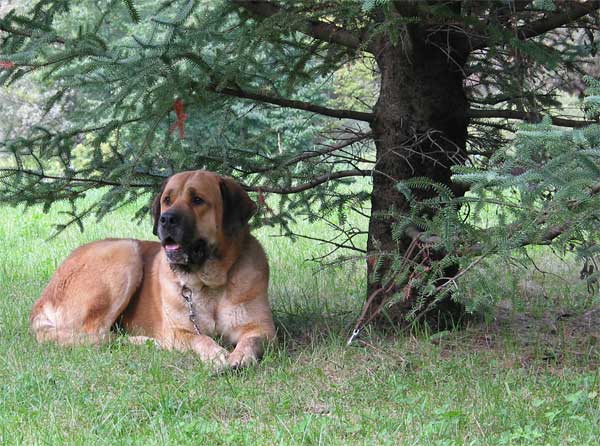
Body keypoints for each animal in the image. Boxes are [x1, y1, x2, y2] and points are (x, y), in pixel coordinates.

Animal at [30, 169, 276, 368]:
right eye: (167, 200)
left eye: (198, 200)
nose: (166, 219)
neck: (209, 284)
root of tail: (42, 299)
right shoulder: (178, 332)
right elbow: (200, 338)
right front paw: (216, 354)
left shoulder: (262, 328)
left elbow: (250, 340)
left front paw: (240, 356)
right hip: (126, 251)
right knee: (95, 334)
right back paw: (144, 341)